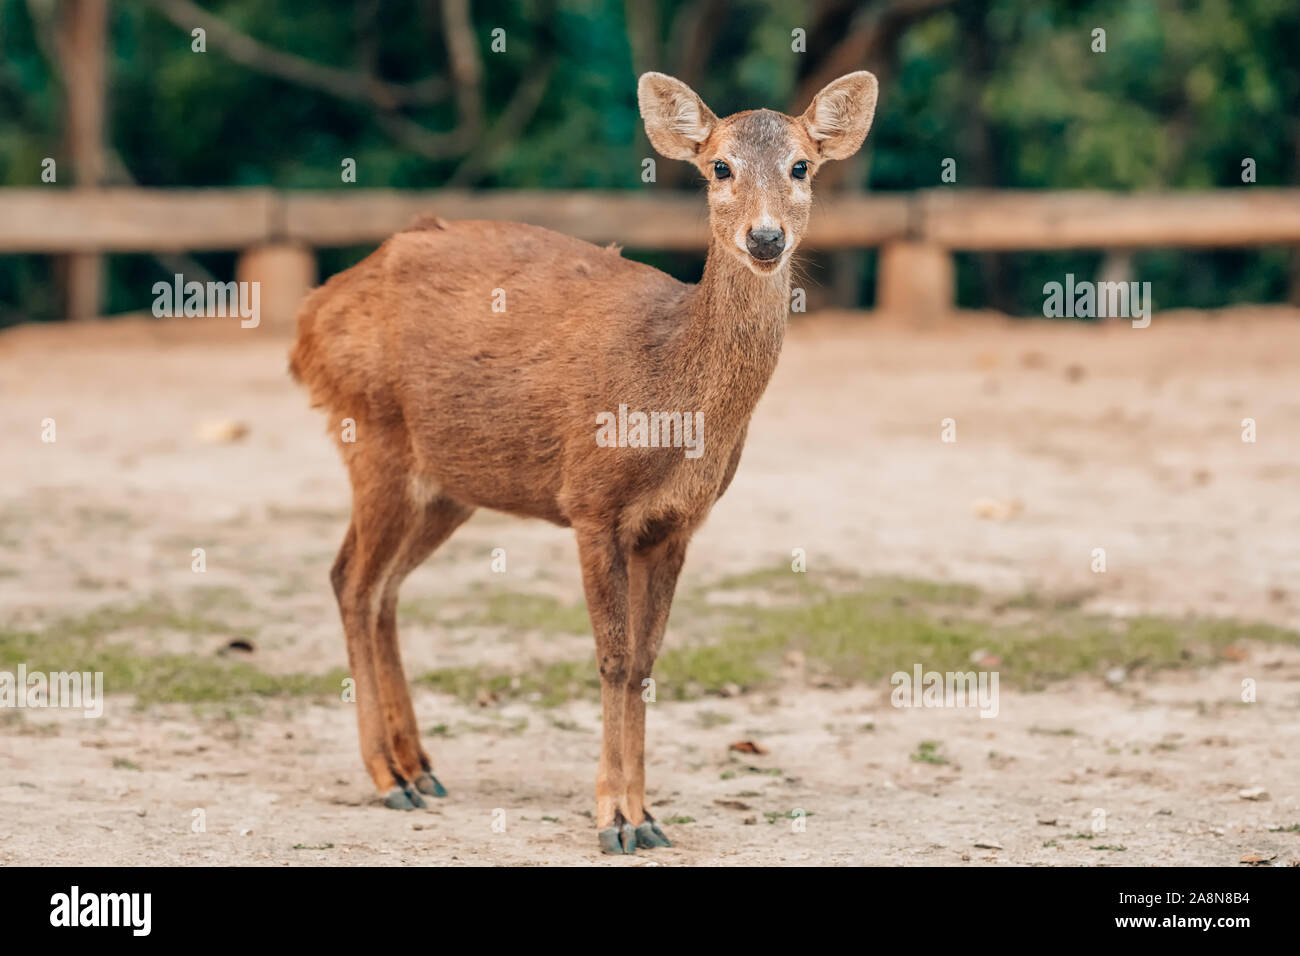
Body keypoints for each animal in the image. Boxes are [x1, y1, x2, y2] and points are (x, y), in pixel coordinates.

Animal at [288, 70, 879, 854]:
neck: (669, 400)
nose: (765, 237)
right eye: (719, 166)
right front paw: (614, 820)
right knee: (350, 581)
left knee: (382, 588)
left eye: (802, 165)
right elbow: (614, 656)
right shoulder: (591, 502)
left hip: (449, 484)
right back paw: (388, 779)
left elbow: (648, 661)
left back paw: (422, 769)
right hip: (370, 434)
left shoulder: (678, 523)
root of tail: (307, 324)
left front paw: (648, 818)